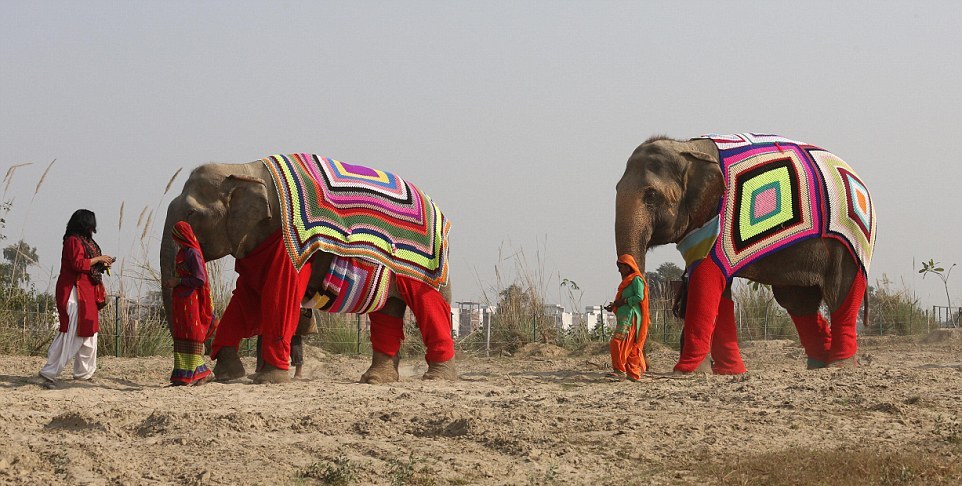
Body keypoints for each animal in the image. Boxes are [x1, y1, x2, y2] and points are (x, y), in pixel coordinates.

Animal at [161, 154, 458, 386]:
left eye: (191, 214)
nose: (189, 380)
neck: (243, 168)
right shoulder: (255, 241)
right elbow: (246, 296)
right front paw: (228, 376)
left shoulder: (287, 241)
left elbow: (279, 291)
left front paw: (268, 380)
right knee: (389, 311)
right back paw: (376, 379)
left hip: (429, 263)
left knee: (431, 304)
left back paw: (436, 378)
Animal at [616, 132, 876, 372]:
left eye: (651, 195)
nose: (638, 367)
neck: (688, 147)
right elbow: (718, 289)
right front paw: (729, 372)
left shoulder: (718, 221)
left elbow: (706, 281)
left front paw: (687, 373)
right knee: (797, 301)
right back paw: (818, 367)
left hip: (851, 241)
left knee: (840, 293)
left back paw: (839, 366)